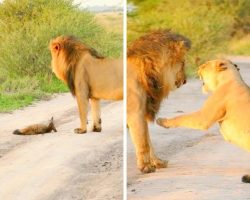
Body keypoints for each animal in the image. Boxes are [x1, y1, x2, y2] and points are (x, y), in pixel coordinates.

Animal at [128, 30, 190, 173]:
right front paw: (146, 167)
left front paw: (158, 162)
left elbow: (148, 140)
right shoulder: (135, 112)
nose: (185, 81)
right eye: (183, 63)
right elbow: (143, 141)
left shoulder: (143, 110)